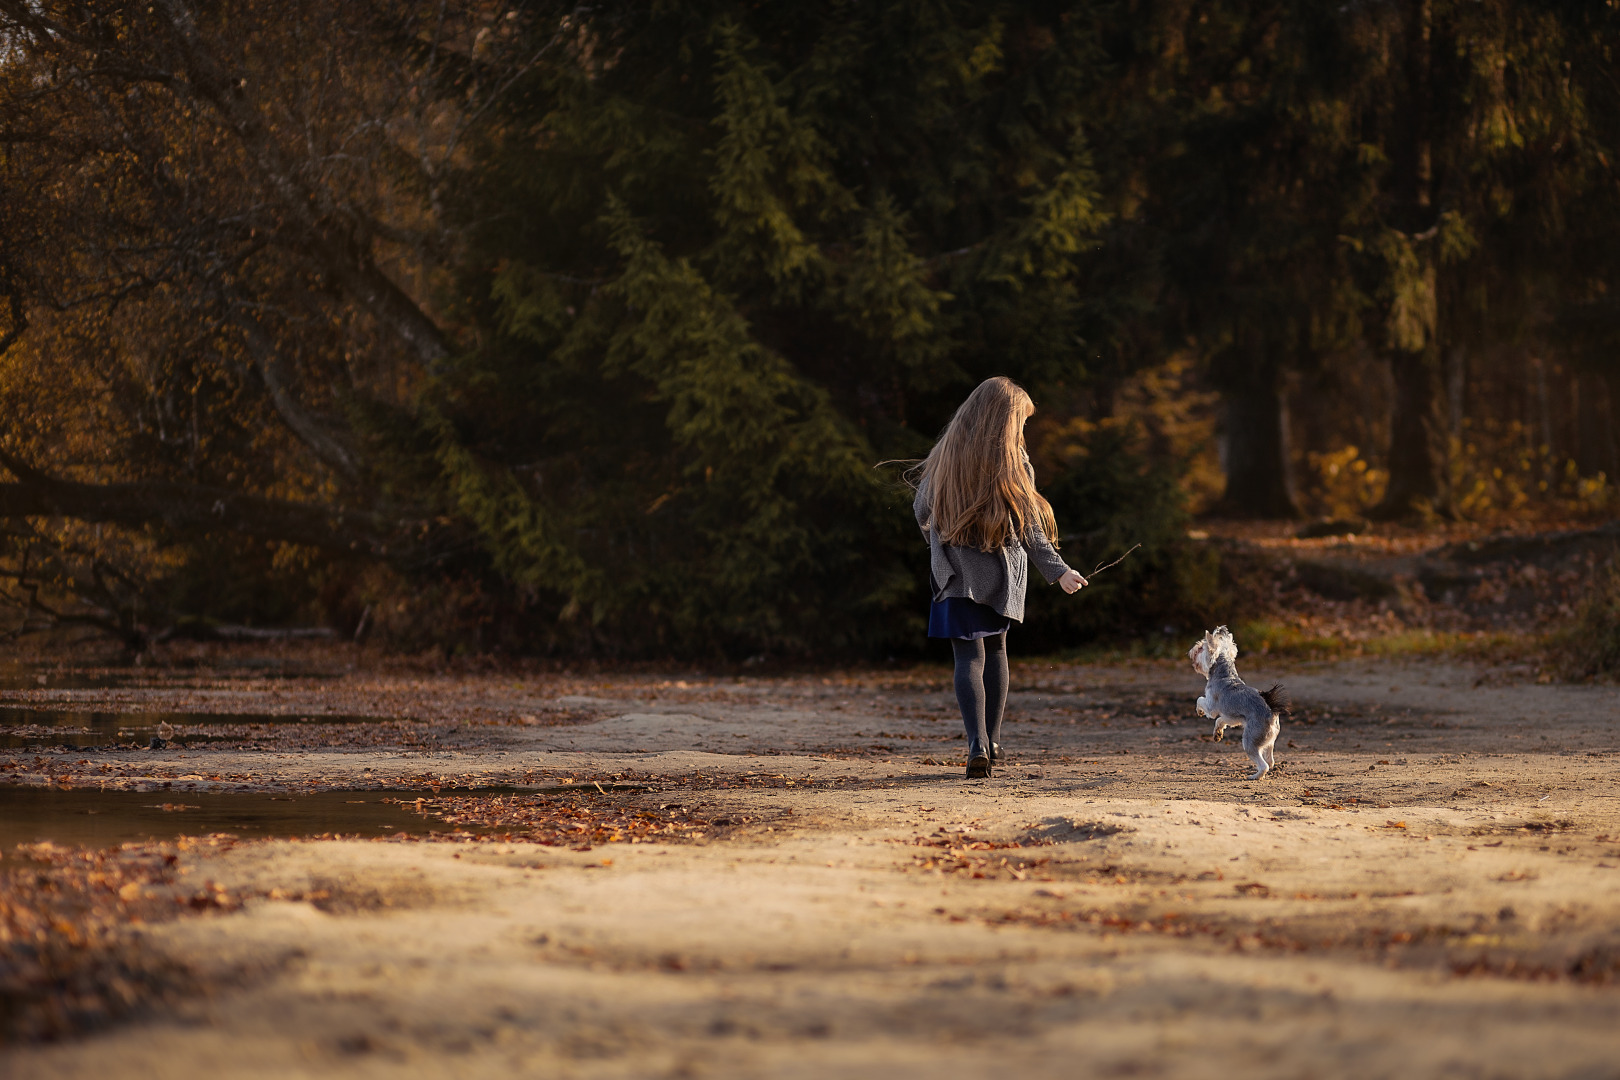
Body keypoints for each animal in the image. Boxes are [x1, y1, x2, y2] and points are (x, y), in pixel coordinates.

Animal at [1185, 628, 1283, 780]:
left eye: (1201, 648)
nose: (1192, 650)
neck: (1224, 674)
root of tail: (1272, 712)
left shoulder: (1211, 707)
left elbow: (1200, 700)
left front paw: (1199, 711)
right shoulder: (1232, 717)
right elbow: (1220, 720)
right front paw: (1217, 733)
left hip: (1249, 741)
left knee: (1264, 765)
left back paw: (1255, 776)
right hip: (1268, 742)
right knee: (1270, 761)